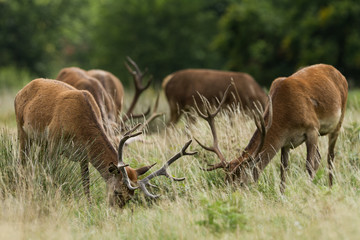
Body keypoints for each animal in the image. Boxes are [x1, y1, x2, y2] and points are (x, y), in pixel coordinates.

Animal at [15, 79, 197, 206]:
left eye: (131, 196)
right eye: (117, 191)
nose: (116, 210)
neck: (78, 124)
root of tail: (22, 90)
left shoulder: (84, 155)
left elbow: (86, 182)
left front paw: (89, 206)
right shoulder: (54, 140)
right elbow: (52, 173)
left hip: (41, 142)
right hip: (22, 130)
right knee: (22, 161)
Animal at [195, 64, 348, 193]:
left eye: (241, 183)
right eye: (225, 180)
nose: (232, 196)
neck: (286, 114)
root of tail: (339, 73)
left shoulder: (312, 128)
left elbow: (309, 165)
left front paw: (308, 192)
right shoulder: (285, 141)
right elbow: (283, 169)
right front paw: (282, 195)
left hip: (338, 121)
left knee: (329, 157)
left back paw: (330, 188)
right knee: (319, 157)